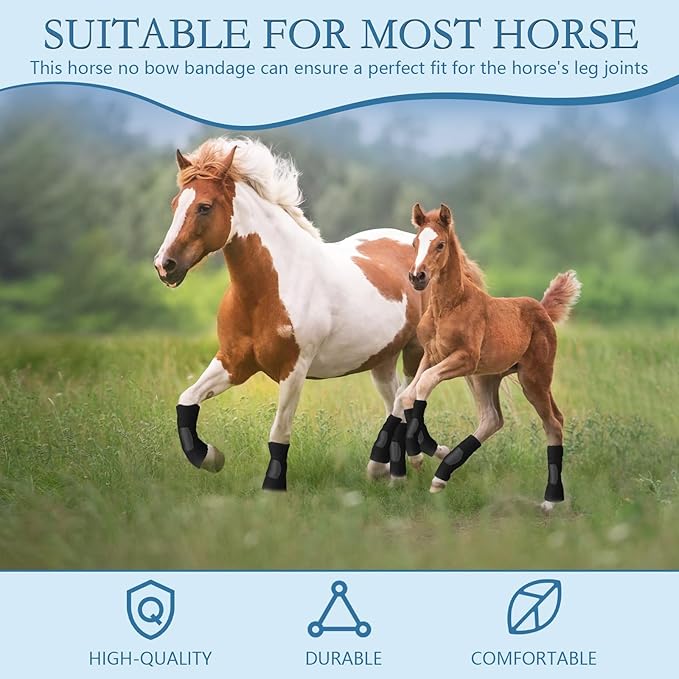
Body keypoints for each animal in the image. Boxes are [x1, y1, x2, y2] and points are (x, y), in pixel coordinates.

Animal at [152, 137, 486, 490]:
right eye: (175, 204)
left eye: (204, 206)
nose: (165, 265)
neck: (270, 288)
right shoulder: (233, 362)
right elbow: (186, 400)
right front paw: (211, 457)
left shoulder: (293, 370)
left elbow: (279, 433)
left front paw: (273, 487)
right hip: (382, 359)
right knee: (395, 400)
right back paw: (401, 463)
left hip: (415, 351)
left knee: (405, 399)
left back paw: (393, 463)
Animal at [388, 202, 581, 510]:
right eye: (415, 243)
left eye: (440, 244)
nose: (417, 277)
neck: (449, 306)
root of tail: (542, 309)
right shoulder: (431, 355)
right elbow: (409, 393)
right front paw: (424, 452)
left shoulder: (464, 357)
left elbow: (425, 383)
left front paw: (421, 451)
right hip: (486, 378)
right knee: (493, 419)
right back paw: (441, 476)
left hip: (533, 379)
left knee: (552, 424)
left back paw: (551, 500)